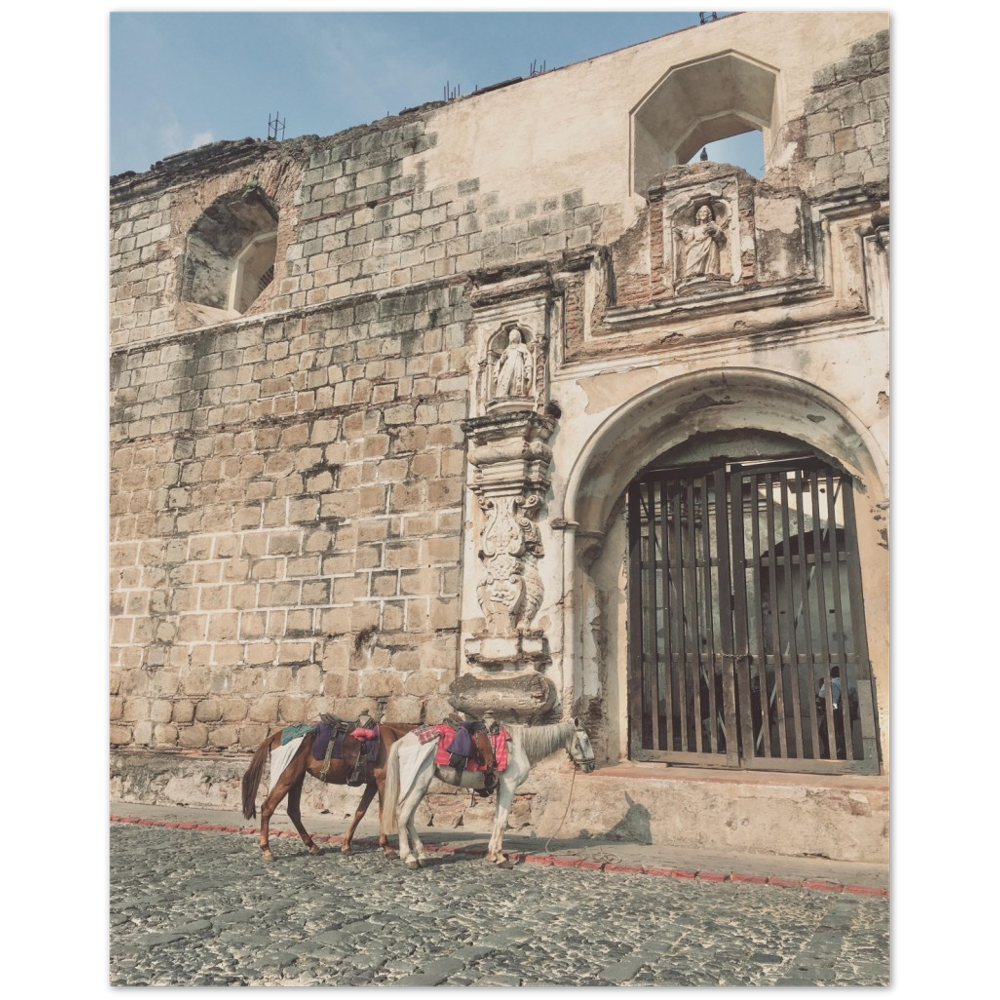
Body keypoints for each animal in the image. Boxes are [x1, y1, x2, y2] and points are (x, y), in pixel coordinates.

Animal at [378, 720, 588, 868]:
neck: (520, 745)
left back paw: (421, 855)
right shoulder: (509, 786)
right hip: (416, 783)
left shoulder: (502, 787)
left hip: (420, 786)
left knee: (409, 817)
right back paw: (409, 857)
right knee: (402, 815)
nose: (591, 765)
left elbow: (497, 820)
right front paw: (501, 858)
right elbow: (503, 822)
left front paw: (493, 854)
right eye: (585, 740)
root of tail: (403, 740)